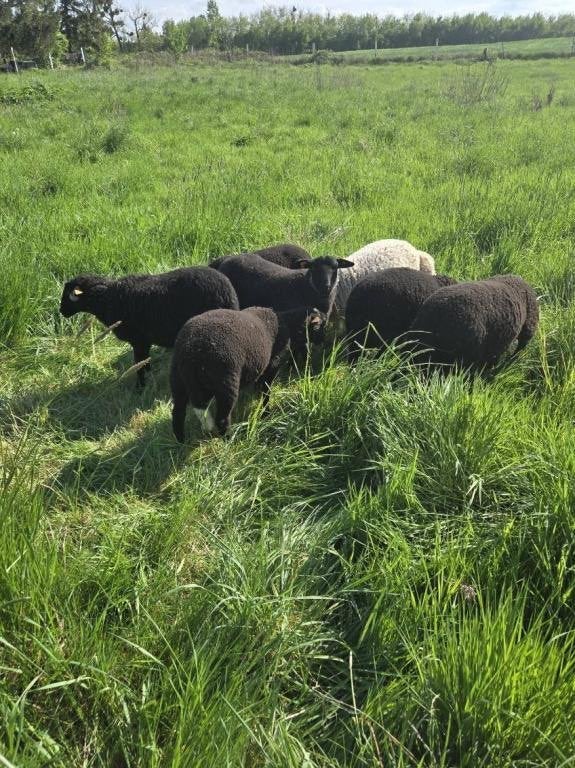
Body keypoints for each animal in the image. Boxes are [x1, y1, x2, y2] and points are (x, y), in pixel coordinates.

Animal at [59, 267, 239, 386]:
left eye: (67, 296)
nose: (61, 311)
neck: (109, 298)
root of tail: (228, 292)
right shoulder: (144, 342)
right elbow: (145, 362)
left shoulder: (138, 340)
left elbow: (138, 364)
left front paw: (140, 387)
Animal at [170, 306, 327, 441]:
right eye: (320, 326)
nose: (323, 342)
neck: (289, 326)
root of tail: (190, 352)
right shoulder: (272, 365)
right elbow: (266, 391)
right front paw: (266, 413)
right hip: (226, 381)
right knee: (221, 419)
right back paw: (230, 440)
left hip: (178, 380)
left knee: (177, 413)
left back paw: (180, 441)